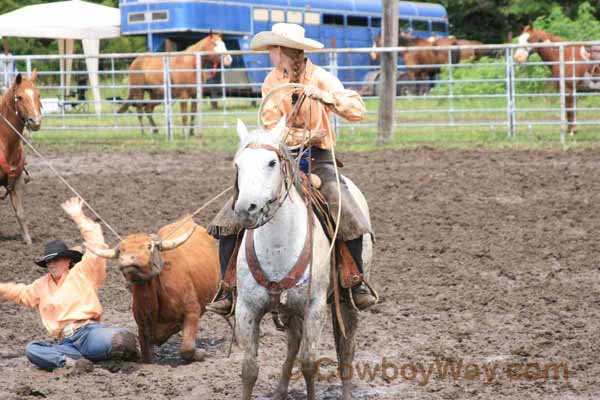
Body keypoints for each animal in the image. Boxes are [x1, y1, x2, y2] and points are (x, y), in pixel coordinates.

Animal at [232, 118, 372, 400]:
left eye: (271, 163)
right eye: (238, 164)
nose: (245, 209)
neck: (278, 248)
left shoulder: (313, 307)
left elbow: (309, 364)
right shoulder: (247, 308)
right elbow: (249, 369)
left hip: (346, 301)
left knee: (346, 348)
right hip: (290, 310)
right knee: (293, 342)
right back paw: (280, 390)